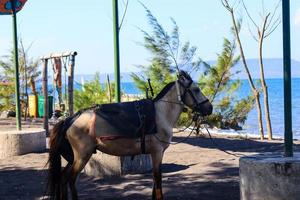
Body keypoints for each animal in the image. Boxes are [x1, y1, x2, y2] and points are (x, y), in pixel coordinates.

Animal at [47, 70, 212, 200]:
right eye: (196, 90)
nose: (209, 108)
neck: (160, 115)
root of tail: (70, 119)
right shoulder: (157, 152)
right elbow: (158, 182)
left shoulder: (156, 154)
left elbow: (155, 182)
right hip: (82, 156)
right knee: (70, 180)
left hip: (72, 157)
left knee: (62, 179)